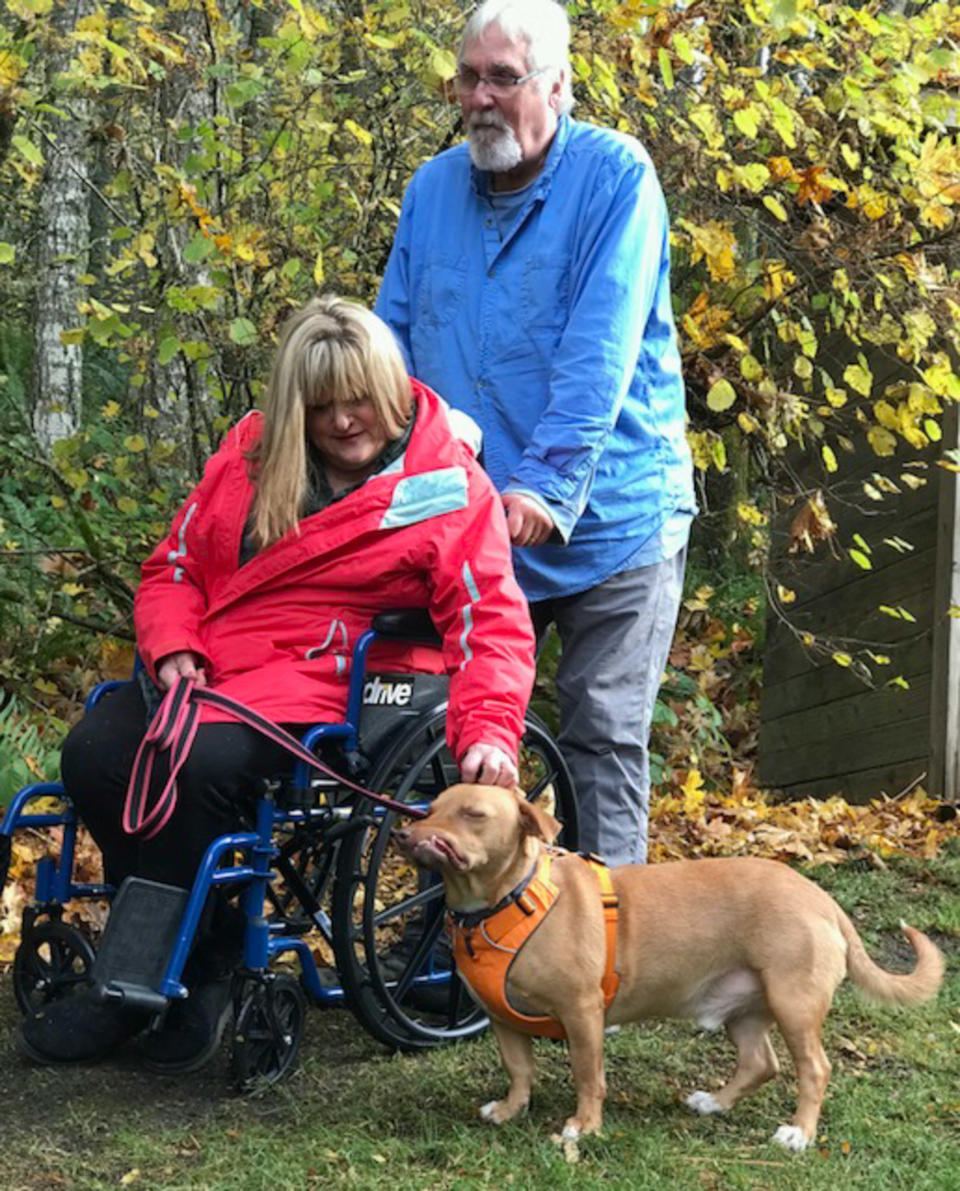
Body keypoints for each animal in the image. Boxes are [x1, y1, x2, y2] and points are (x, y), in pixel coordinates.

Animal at [393, 786, 948, 1148]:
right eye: (430, 808)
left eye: (474, 814)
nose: (405, 833)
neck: (507, 901)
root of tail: (822, 899)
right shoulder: (504, 1020)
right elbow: (519, 1070)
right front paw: (511, 1109)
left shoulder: (582, 1014)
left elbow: (587, 1075)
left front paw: (583, 1127)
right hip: (746, 1011)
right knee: (760, 1063)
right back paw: (716, 1103)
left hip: (794, 1004)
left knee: (814, 1068)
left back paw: (798, 1133)